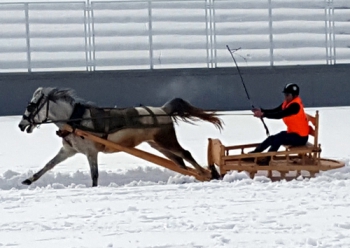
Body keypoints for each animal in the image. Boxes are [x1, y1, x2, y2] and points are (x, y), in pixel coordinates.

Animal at [17, 87, 223, 186]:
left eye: (31, 106)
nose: (21, 125)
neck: (75, 120)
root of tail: (164, 109)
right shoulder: (68, 150)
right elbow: (48, 165)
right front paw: (28, 180)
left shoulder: (91, 152)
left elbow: (94, 176)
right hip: (157, 144)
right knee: (179, 162)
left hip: (166, 140)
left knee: (186, 154)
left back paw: (209, 174)